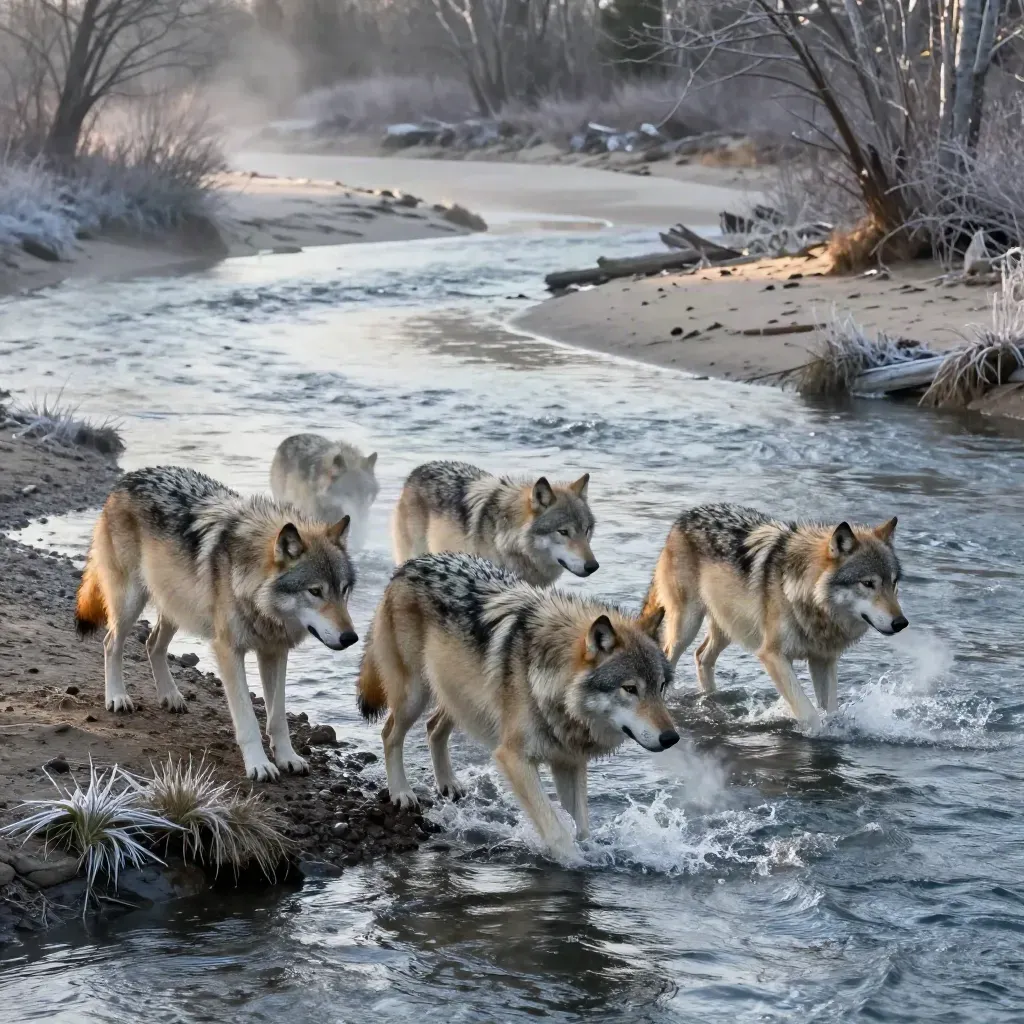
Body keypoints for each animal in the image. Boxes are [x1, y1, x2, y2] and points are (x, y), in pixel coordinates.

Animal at [74, 466, 358, 781]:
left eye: (343, 590)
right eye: (315, 591)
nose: (351, 638)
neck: (250, 580)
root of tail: (129, 478)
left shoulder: (274, 651)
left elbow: (278, 718)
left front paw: (288, 758)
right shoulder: (228, 651)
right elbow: (248, 719)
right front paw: (259, 765)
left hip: (176, 605)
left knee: (152, 644)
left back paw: (170, 696)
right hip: (131, 603)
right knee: (111, 642)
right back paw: (117, 697)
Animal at [357, 552, 678, 860]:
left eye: (660, 687)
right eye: (630, 689)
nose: (671, 738)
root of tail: (409, 565)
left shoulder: (570, 761)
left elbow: (582, 828)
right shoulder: (514, 758)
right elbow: (557, 831)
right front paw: (576, 862)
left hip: (459, 697)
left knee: (433, 727)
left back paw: (448, 783)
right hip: (415, 695)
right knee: (389, 733)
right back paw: (401, 792)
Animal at [643, 504, 907, 725]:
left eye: (893, 583)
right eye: (868, 583)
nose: (901, 623)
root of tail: (684, 516)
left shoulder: (823, 659)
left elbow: (830, 708)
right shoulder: (772, 655)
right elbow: (809, 712)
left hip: (730, 626)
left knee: (701, 656)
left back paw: (711, 701)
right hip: (687, 627)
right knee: (670, 655)